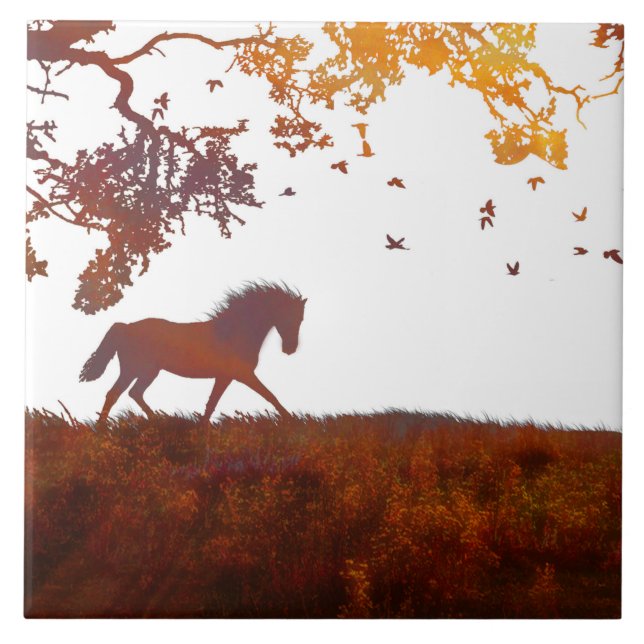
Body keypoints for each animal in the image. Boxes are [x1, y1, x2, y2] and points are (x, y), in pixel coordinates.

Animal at [79, 281, 307, 423]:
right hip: (136, 370)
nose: (290, 349)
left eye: (301, 319)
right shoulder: (244, 374)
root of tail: (126, 327)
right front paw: (292, 420)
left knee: (131, 393)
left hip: (145, 372)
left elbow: (211, 405)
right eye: (292, 317)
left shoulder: (224, 377)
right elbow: (270, 396)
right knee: (117, 394)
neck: (233, 331)